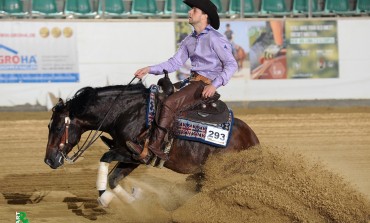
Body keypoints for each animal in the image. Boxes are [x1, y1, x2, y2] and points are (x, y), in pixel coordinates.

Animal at [44, 84, 258, 207]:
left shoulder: (134, 154)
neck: (126, 114)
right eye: (48, 126)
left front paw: (105, 198)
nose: (49, 160)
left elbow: (105, 159)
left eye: (57, 127)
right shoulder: (131, 158)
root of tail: (253, 139)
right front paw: (135, 198)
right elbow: (114, 178)